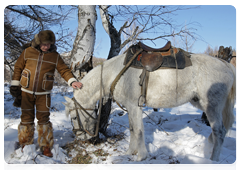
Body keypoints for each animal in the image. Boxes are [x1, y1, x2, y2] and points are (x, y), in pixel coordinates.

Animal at [62, 52, 237, 161]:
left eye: (73, 116)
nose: (81, 138)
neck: (115, 73)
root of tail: (227, 66)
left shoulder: (135, 107)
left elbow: (139, 131)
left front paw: (141, 156)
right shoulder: (130, 107)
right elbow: (133, 129)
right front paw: (129, 152)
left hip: (212, 107)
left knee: (219, 132)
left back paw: (213, 161)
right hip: (201, 103)